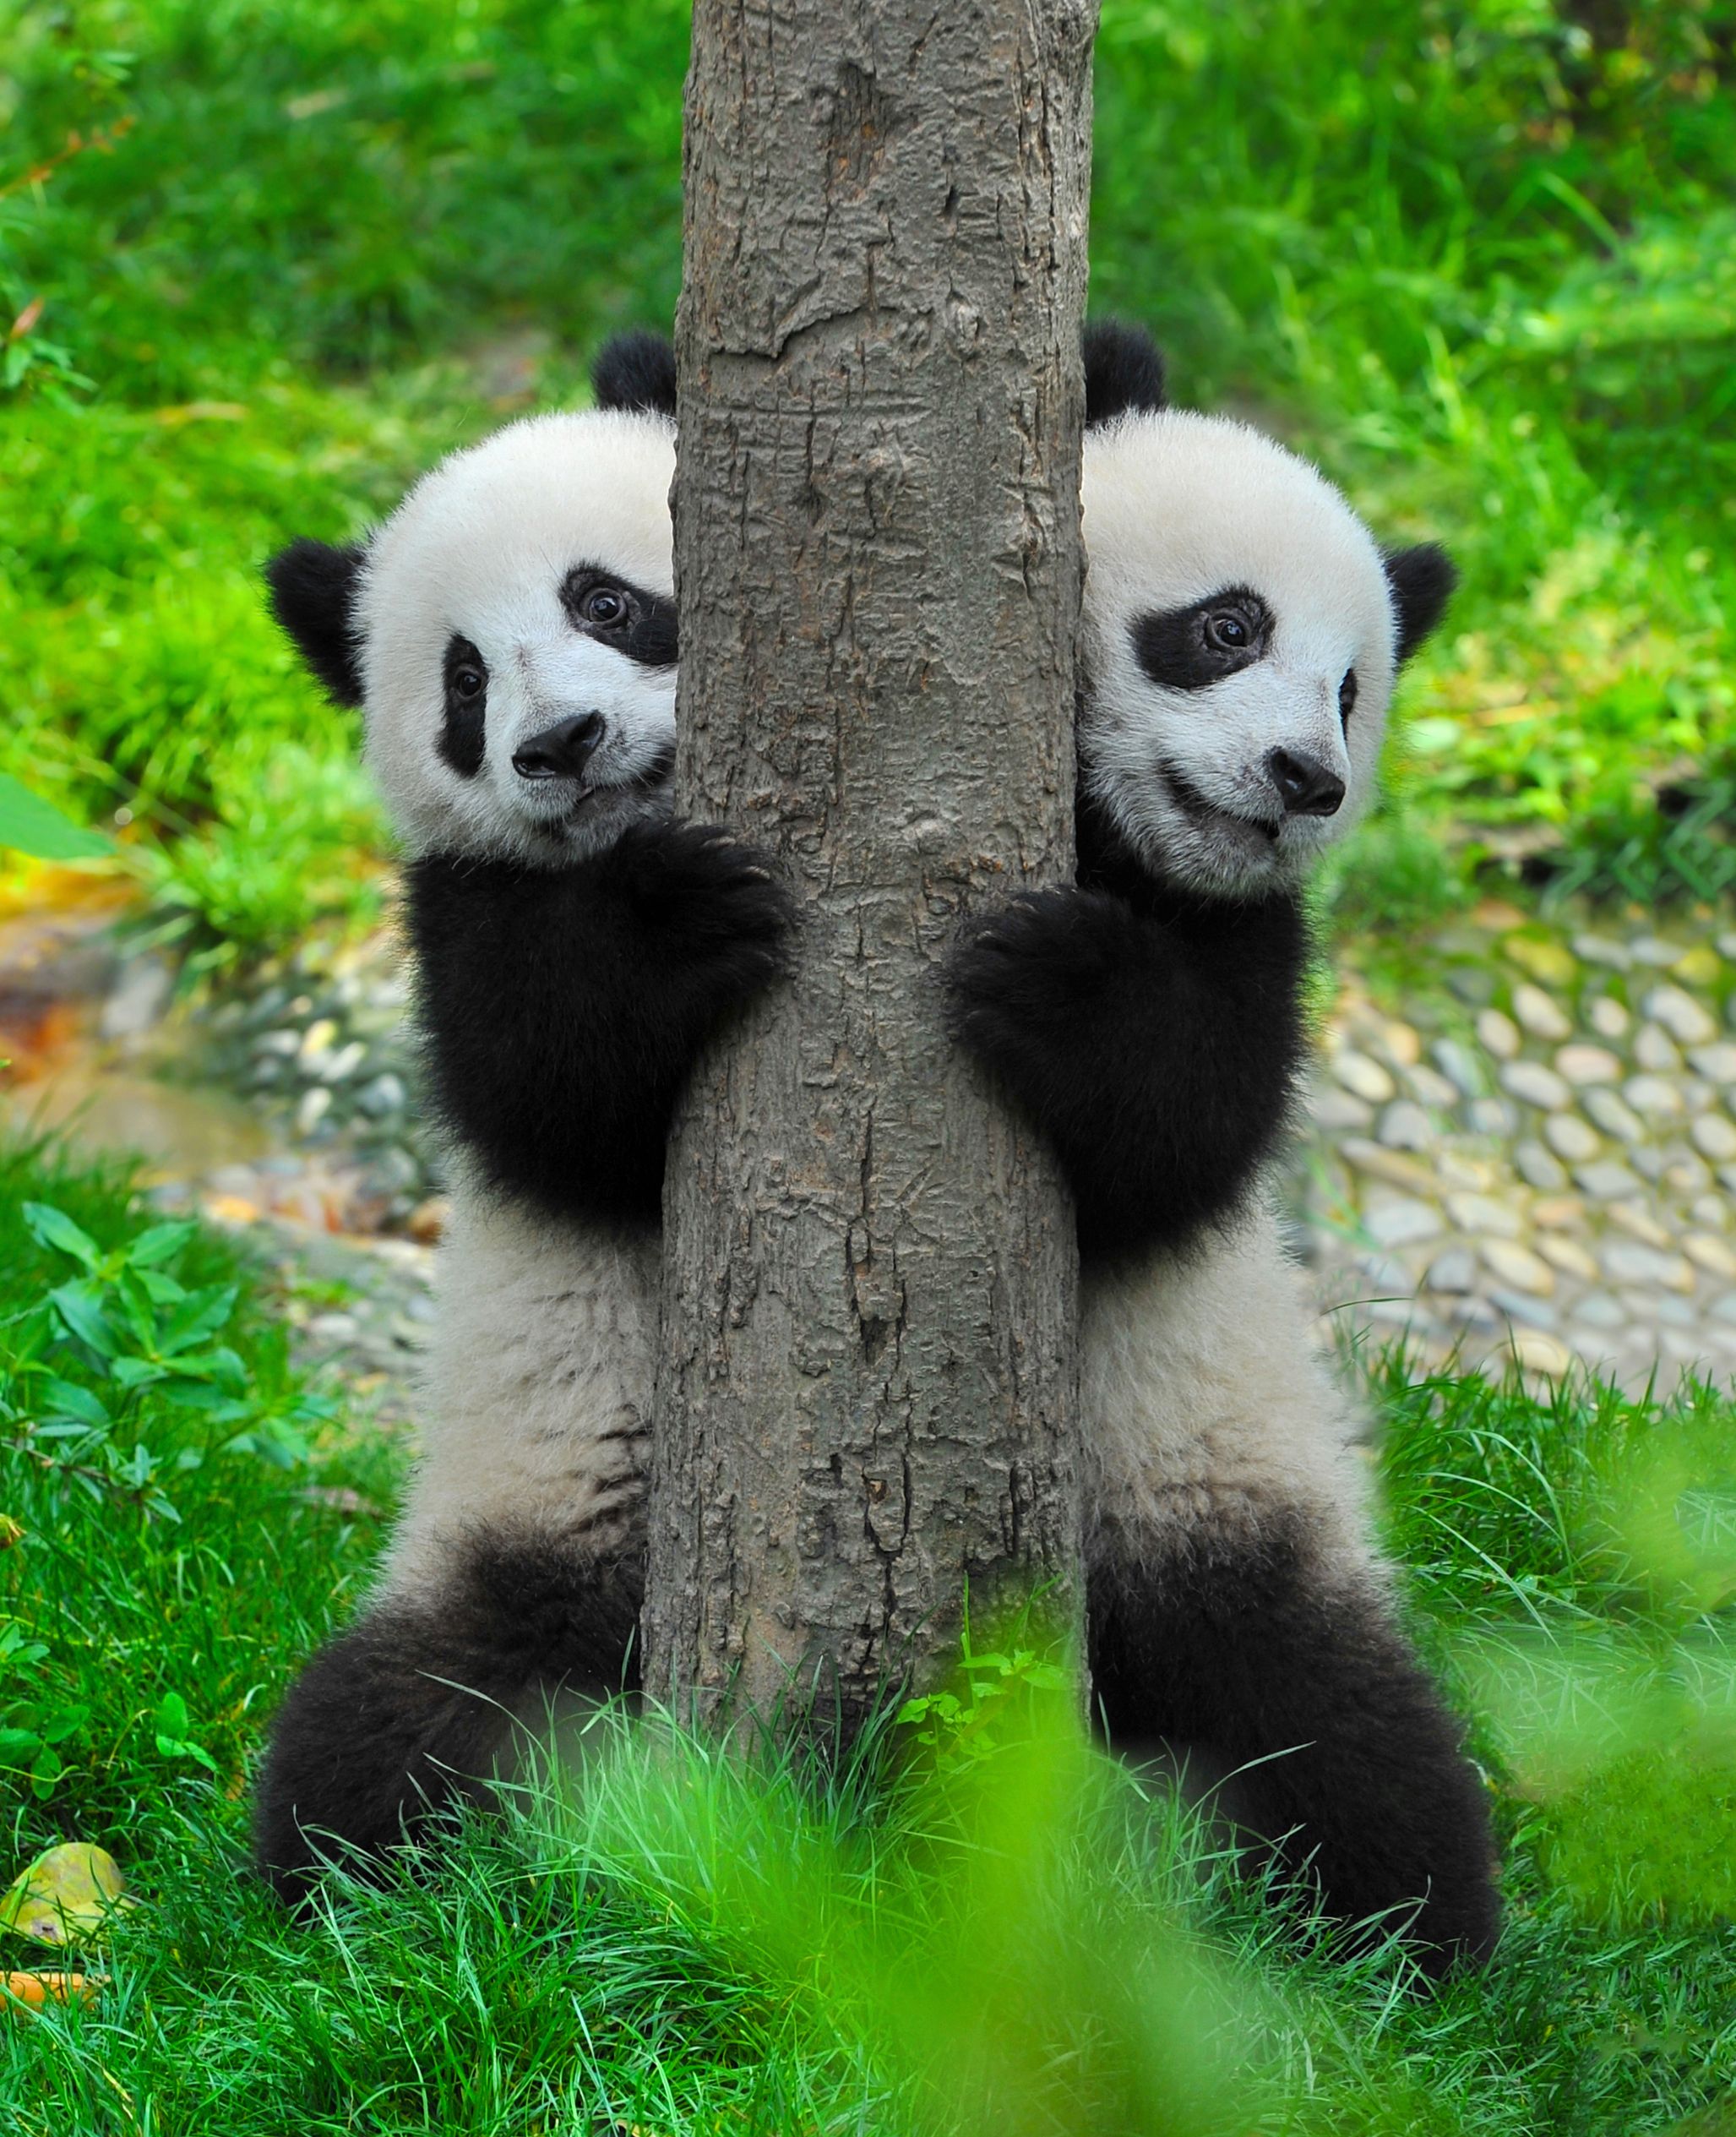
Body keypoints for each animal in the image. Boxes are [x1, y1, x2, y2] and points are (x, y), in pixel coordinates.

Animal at [252, 336, 790, 1897]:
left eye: (603, 599)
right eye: (465, 682)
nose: (561, 742)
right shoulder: (458, 910)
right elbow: (551, 1102)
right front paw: (677, 926)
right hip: (506, 1543)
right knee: (380, 1722)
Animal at [946, 321, 1500, 1974]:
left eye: (1351, 690)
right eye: (1226, 626)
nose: (1303, 781)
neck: (1129, 846)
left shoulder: (1261, 943)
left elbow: (1189, 1136)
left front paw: (1061, 984)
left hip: (1231, 1502)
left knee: (1339, 1721)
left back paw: (1410, 1923)